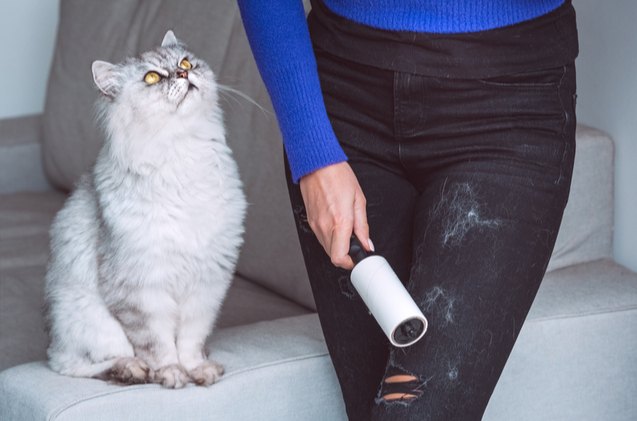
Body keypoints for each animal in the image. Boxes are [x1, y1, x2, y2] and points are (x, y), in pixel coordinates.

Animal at [44, 30, 246, 388]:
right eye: (152, 77)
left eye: (185, 63)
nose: (182, 74)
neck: (184, 157)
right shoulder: (141, 289)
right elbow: (158, 345)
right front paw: (172, 374)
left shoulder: (206, 284)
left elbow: (191, 341)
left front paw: (197, 370)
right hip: (88, 320)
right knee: (74, 365)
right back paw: (131, 370)